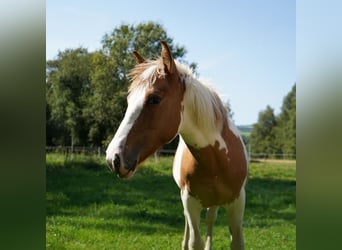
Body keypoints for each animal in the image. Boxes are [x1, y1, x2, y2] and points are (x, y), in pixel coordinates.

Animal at [105, 40, 247, 249]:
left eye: (154, 99)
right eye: (129, 100)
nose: (113, 158)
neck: (217, 162)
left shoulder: (237, 204)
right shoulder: (190, 201)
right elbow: (194, 241)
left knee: (210, 220)